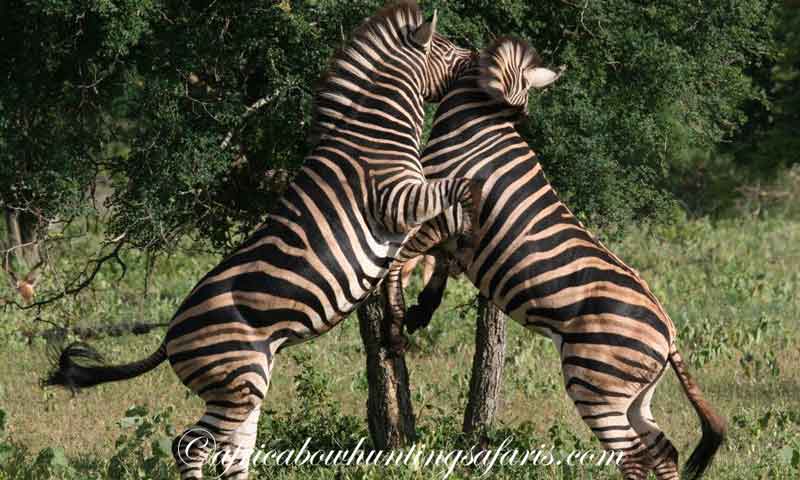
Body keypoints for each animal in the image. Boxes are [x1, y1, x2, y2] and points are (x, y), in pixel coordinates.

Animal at [44, 3, 477, 478]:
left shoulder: (404, 211)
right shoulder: (396, 198)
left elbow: (432, 244)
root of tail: (169, 336)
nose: (478, 55)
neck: (375, 131)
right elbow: (456, 194)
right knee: (188, 446)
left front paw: (412, 312)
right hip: (239, 383)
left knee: (232, 452)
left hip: (244, 382)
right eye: (448, 45)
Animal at [384, 37, 726, 480]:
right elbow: (438, 261)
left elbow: (404, 255)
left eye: (440, 48)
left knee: (634, 455)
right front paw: (420, 309)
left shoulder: (443, 210)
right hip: (636, 394)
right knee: (663, 449)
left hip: (596, 384)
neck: (476, 130)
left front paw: (393, 312)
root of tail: (668, 334)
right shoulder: (454, 230)